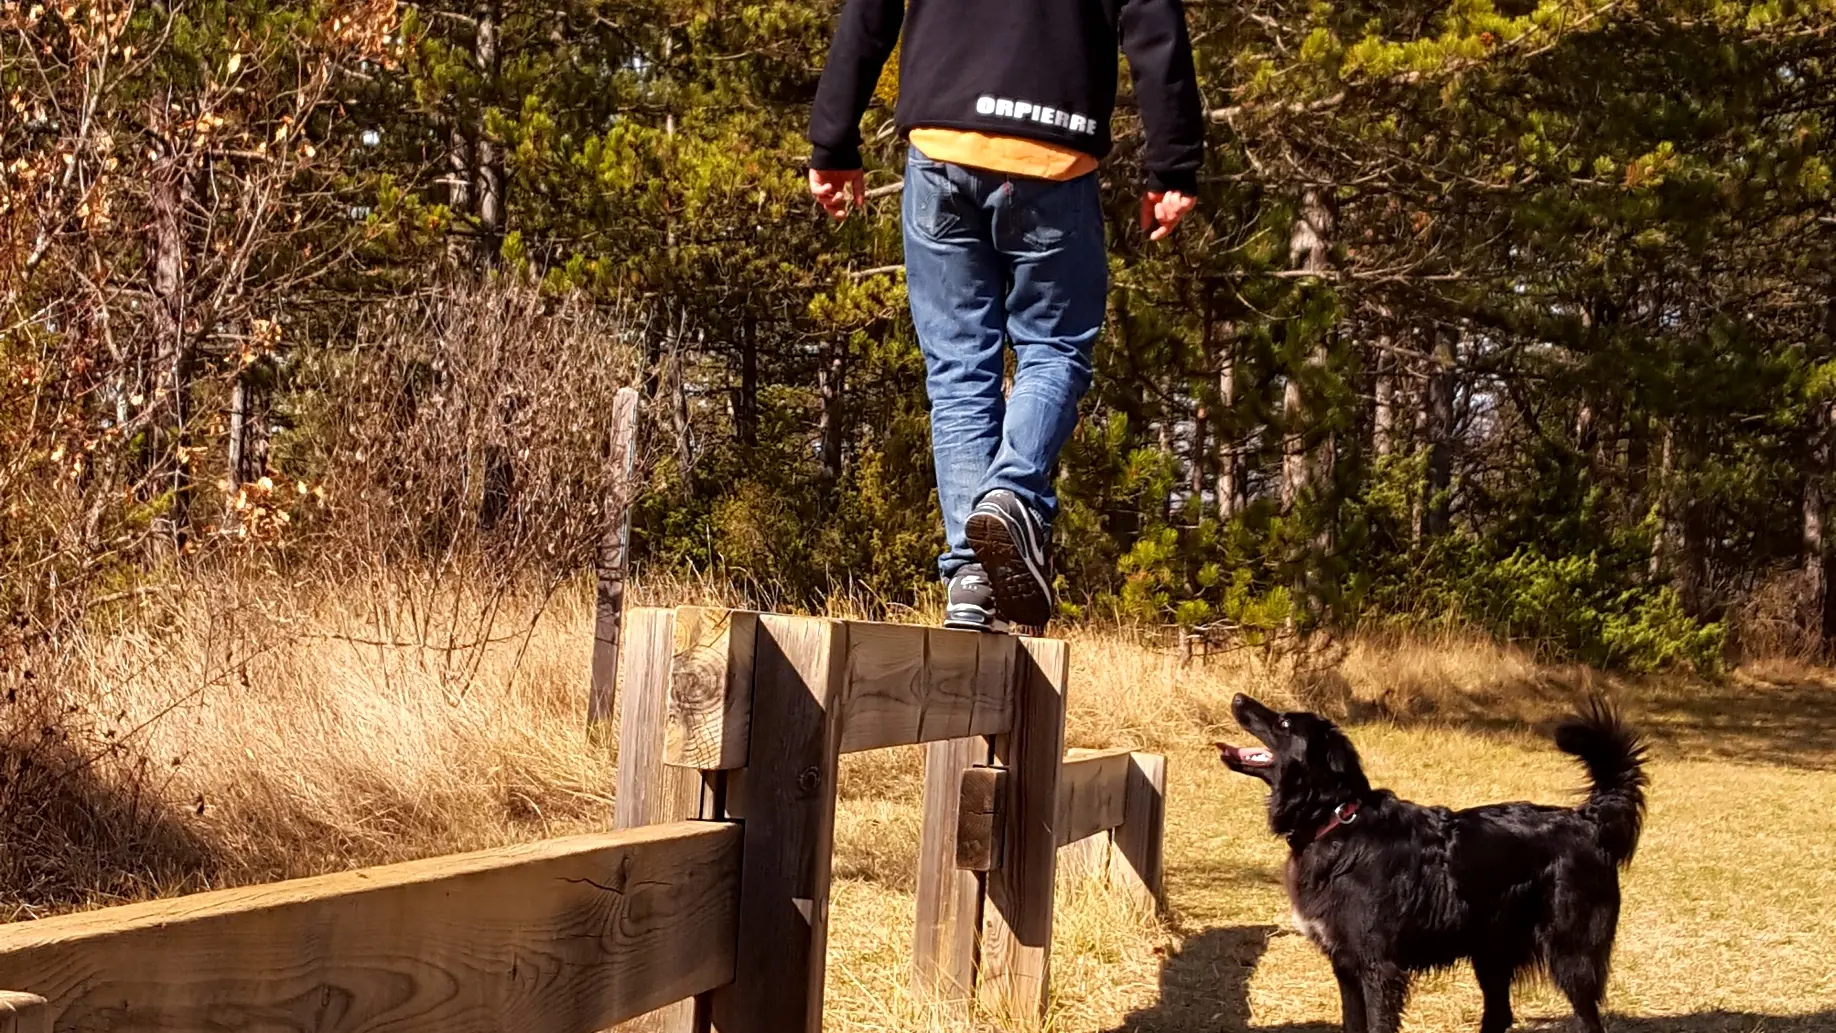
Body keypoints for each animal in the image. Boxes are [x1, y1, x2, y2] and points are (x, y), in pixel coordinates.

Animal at [1219, 693, 1652, 1033]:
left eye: (1284, 722)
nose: (1238, 697)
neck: (1337, 819)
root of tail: (1588, 821)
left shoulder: (1379, 969)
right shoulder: (1345, 965)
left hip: (1570, 955)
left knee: (1587, 1020)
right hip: (1491, 953)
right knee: (1500, 1015)